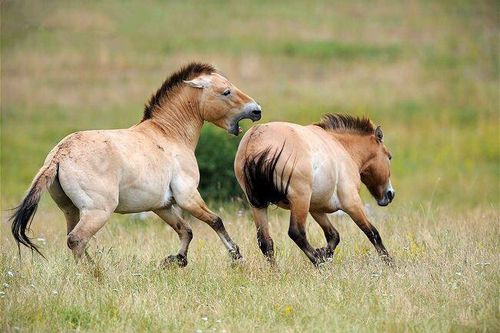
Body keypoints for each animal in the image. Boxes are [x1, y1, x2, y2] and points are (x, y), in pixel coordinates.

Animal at [10, 61, 262, 268]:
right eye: (226, 91)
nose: (256, 110)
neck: (169, 134)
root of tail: (59, 155)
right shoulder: (188, 196)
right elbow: (215, 221)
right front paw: (236, 256)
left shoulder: (162, 205)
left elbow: (186, 230)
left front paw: (176, 260)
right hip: (98, 211)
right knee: (77, 239)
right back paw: (95, 274)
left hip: (70, 210)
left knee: (73, 239)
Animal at [234, 113, 394, 264]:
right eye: (389, 157)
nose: (390, 194)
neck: (342, 147)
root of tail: (255, 141)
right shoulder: (352, 203)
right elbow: (372, 233)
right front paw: (390, 263)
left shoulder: (316, 208)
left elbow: (333, 235)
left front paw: (325, 253)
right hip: (300, 200)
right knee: (296, 233)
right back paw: (318, 262)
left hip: (258, 205)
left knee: (265, 242)